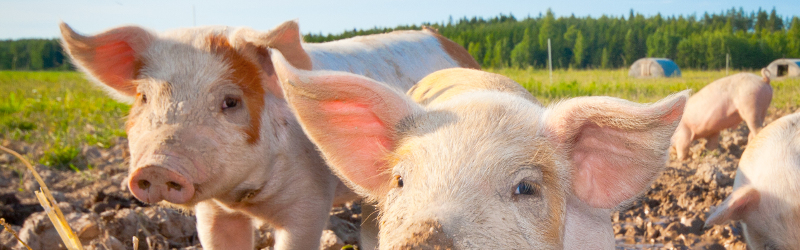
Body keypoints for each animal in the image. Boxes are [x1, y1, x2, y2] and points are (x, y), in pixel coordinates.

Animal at [59, 18, 478, 249]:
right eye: (144, 97)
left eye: (230, 101)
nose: (158, 167)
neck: (247, 199)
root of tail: (450, 44)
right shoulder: (212, 212)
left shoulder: (311, 202)